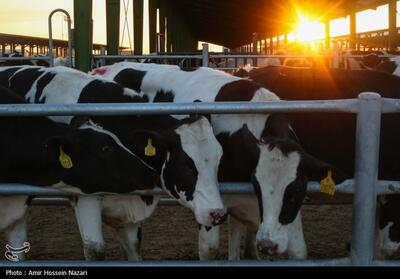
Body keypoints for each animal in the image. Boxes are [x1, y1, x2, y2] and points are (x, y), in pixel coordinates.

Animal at [89, 61, 346, 260]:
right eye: (257, 184)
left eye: (296, 191)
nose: (270, 245)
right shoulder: (208, 199)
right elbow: (209, 248)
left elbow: (293, 250)